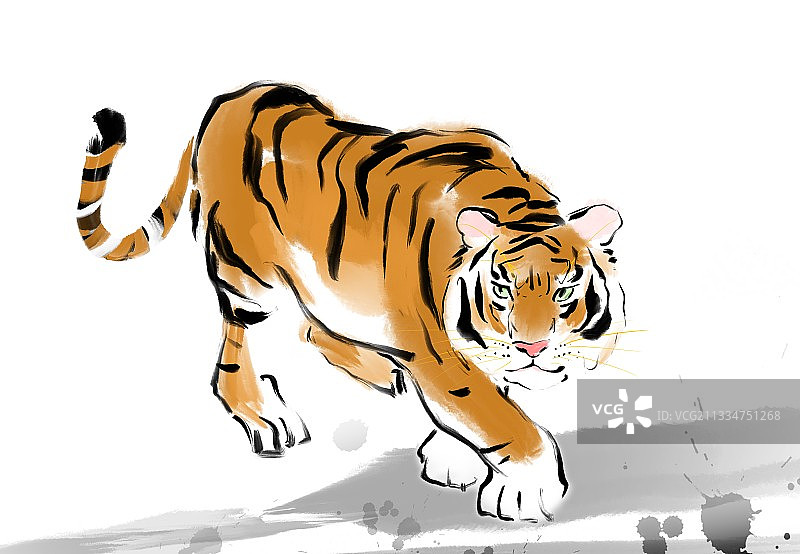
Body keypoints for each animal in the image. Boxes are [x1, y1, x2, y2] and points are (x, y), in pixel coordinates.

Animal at [76, 82, 625, 523]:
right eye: (503, 291)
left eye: (565, 291)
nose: (533, 349)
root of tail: (227, 101)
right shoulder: (438, 351)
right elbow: (497, 416)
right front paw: (527, 490)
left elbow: (488, 398)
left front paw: (453, 457)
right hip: (250, 276)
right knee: (236, 348)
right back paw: (267, 415)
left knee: (311, 328)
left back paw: (383, 372)